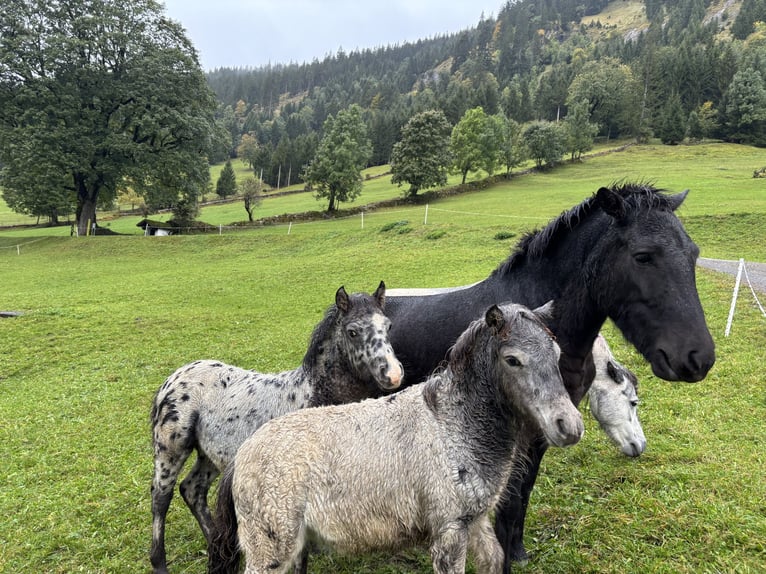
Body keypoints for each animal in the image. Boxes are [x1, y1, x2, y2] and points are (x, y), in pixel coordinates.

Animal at [147, 284, 404, 574]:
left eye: (388, 326)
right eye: (352, 331)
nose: (393, 374)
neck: (312, 394)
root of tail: (173, 378)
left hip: (209, 455)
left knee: (192, 490)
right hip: (171, 448)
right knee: (161, 497)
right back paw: (160, 562)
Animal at [207, 304, 584, 572]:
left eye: (557, 353)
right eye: (513, 359)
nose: (569, 425)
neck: (451, 425)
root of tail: (242, 456)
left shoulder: (474, 521)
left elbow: (494, 559)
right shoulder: (449, 532)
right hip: (271, 551)